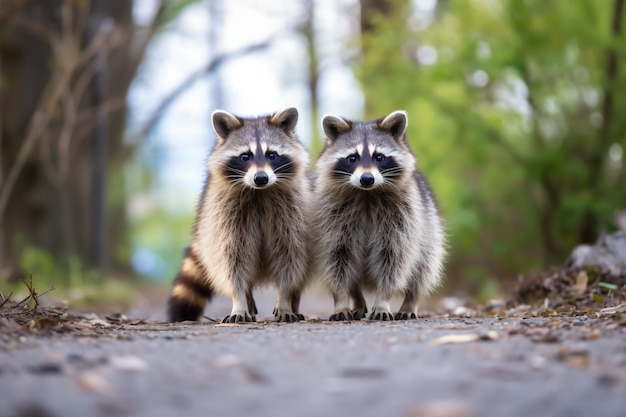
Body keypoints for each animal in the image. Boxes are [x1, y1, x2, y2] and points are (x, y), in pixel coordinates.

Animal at [167, 106, 310, 322]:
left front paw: (284, 300)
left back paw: (294, 304)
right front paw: (239, 301)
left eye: (272, 155)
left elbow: (291, 259)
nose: (261, 178)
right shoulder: (224, 218)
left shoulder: (294, 215)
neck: (259, 191)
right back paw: (249, 301)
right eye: (245, 156)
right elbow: (232, 263)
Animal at [312, 109, 444, 320]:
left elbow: (393, 259)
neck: (366, 194)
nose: (367, 179)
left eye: (379, 157)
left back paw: (410, 302)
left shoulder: (404, 218)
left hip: (429, 228)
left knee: (423, 269)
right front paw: (340, 299)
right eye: (352, 158)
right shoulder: (330, 217)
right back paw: (356, 298)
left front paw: (383, 300)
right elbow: (336, 258)